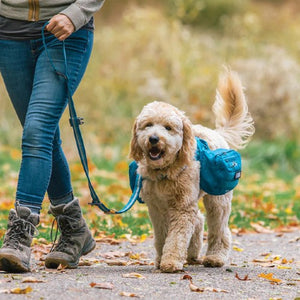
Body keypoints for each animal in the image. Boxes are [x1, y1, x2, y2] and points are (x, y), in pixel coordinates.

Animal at [130, 69, 254, 272]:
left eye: (168, 128)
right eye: (148, 125)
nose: (154, 139)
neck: (165, 171)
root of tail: (217, 133)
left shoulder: (182, 208)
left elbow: (176, 238)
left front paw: (171, 261)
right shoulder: (156, 208)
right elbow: (162, 236)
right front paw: (161, 259)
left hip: (218, 200)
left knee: (220, 229)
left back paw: (215, 257)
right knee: (199, 220)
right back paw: (192, 253)